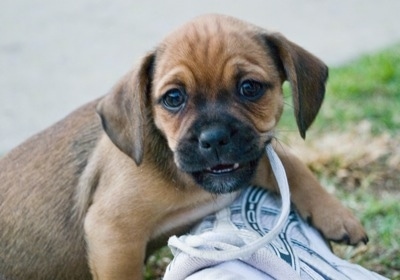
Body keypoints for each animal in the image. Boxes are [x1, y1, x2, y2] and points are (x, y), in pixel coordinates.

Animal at [0, 14, 368, 280]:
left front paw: (337, 216)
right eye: (173, 98)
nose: (215, 138)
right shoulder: (113, 233)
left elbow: (290, 164)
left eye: (250, 88)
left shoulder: (249, 157)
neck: (189, 183)